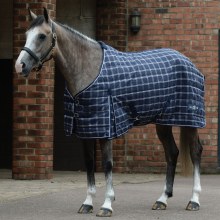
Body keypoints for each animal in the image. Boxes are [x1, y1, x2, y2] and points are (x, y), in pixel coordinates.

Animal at [15, 8, 205, 217]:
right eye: (26, 34)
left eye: (42, 35)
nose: (20, 65)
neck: (89, 70)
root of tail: (189, 63)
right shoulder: (86, 129)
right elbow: (90, 163)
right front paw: (87, 203)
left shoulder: (105, 127)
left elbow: (107, 164)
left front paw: (106, 205)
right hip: (163, 122)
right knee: (171, 153)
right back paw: (162, 200)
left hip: (190, 120)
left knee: (195, 152)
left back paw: (194, 200)